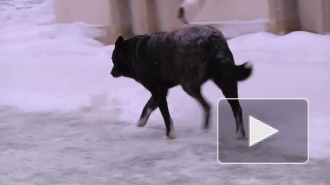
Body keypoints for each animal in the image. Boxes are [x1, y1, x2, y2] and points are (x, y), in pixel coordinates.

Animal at [109, 25, 251, 139]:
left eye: (113, 57)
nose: (111, 73)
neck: (133, 53)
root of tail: (213, 38)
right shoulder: (161, 91)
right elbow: (147, 108)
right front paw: (140, 124)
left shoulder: (157, 91)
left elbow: (165, 115)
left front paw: (170, 134)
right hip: (226, 81)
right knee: (235, 108)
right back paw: (237, 134)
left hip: (189, 85)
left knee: (208, 105)